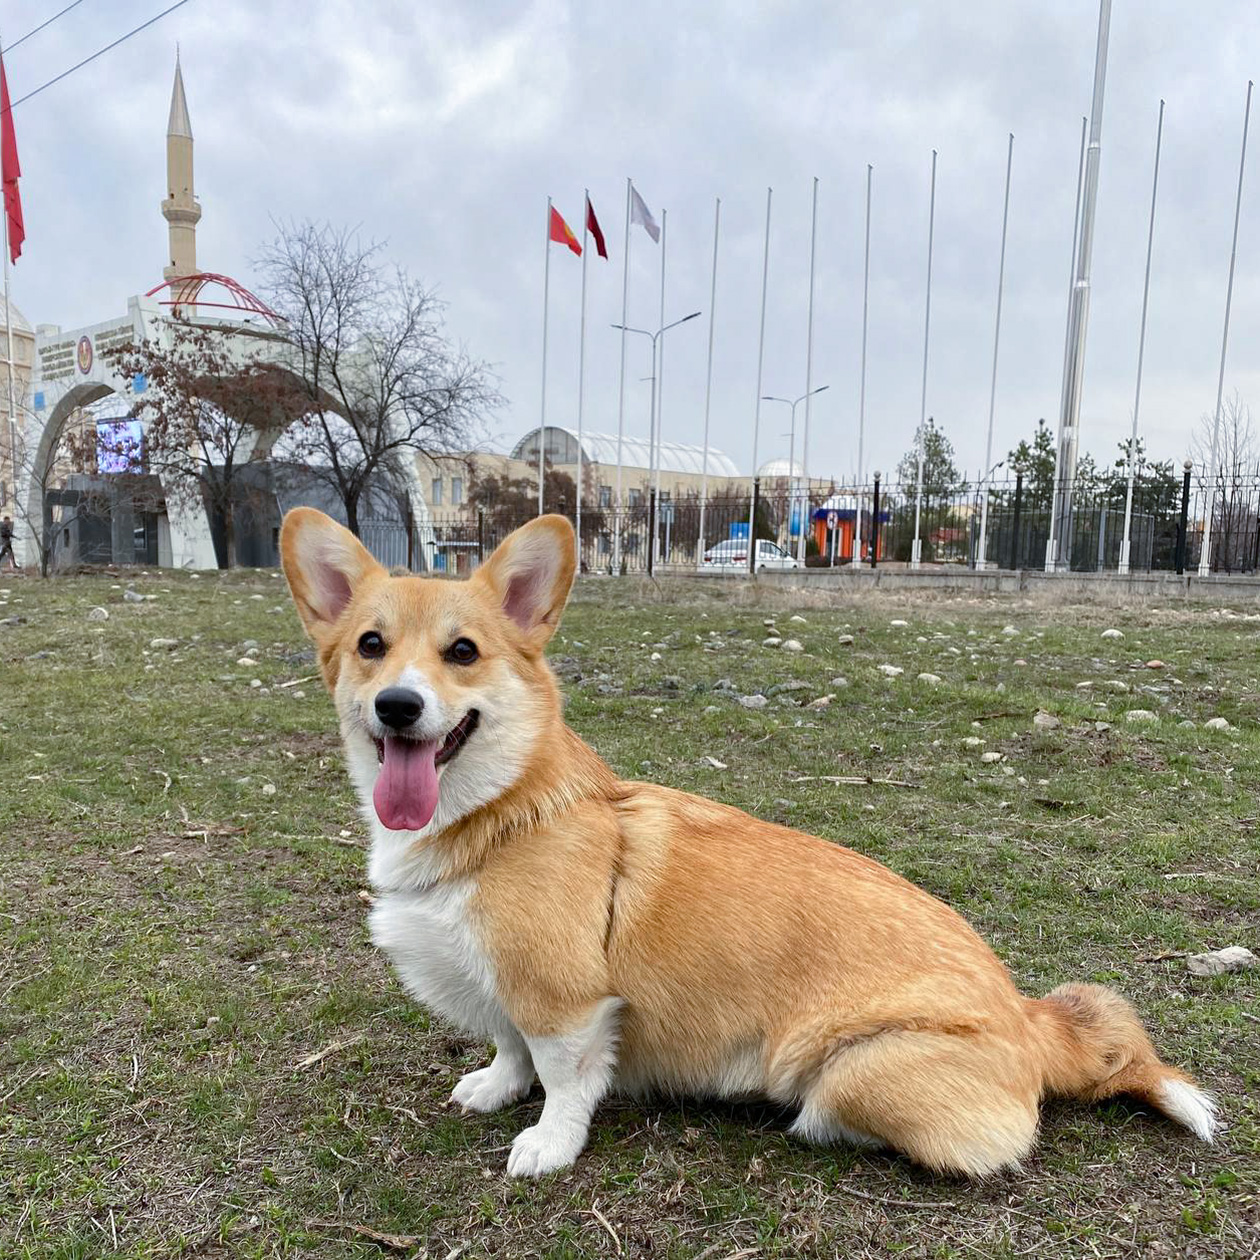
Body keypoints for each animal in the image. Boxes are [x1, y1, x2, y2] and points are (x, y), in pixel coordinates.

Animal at [280, 506, 1214, 1174]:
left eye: (464, 652)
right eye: (371, 646)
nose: (398, 705)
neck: (498, 815)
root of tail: (1031, 1019)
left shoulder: (568, 1005)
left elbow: (563, 1080)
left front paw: (547, 1144)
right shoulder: (503, 987)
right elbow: (509, 1047)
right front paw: (493, 1087)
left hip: (852, 1071)